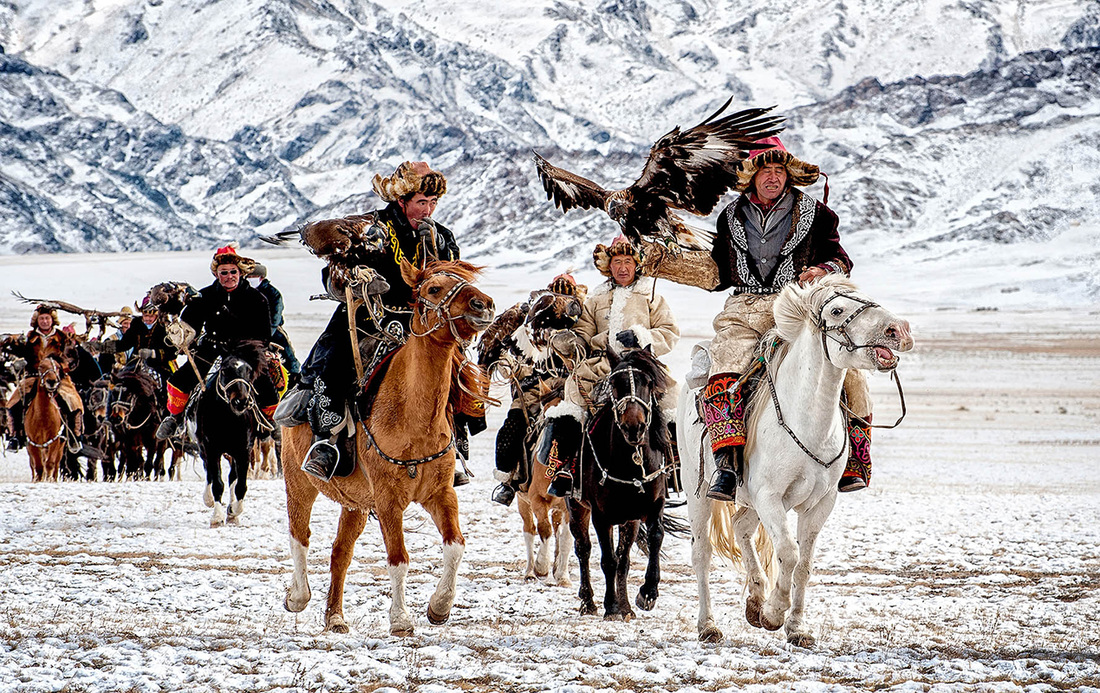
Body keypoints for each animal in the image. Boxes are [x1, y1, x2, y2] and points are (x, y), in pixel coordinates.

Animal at [193, 341, 272, 525]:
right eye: (224, 370)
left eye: (248, 370)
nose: (240, 401)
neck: (228, 419)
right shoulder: (212, 449)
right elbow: (217, 483)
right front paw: (216, 517)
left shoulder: (244, 450)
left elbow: (240, 485)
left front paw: (233, 511)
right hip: (204, 449)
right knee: (210, 473)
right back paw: (208, 499)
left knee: (232, 478)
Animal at [279, 262, 495, 638]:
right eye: (434, 289)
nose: (483, 305)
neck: (413, 415)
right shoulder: (389, 499)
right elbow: (398, 559)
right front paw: (401, 619)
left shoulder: (440, 493)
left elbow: (455, 546)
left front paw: (439, 607)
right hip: (299, 483)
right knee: (300, 537)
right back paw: (297, 597)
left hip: (355, 504)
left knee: (340, 552)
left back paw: (335, 616)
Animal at [572, 349, 673, 620]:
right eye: (616, 383)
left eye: (648, 383)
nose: (634, 427)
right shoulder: (600, 515)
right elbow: (608, 560)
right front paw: (611, 606)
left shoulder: (652, 507)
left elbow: (654, 538)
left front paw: (647, 593)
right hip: (576, 506)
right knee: (583, 548)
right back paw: (588, 601)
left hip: (630, 519)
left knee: (624, 558)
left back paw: (626, 605)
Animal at [677, 273, 910, 651]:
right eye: (836, 309)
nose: (898, 329)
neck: (808, 422)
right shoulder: (771, 497)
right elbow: (788, 551)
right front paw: (774, 614)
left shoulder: (819, 504)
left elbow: (804, 563)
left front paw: (796, 627)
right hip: (697, 490)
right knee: (702, 554)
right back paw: (708, 626)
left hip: (750, 501)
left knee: (741, 527)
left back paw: (754, 601)